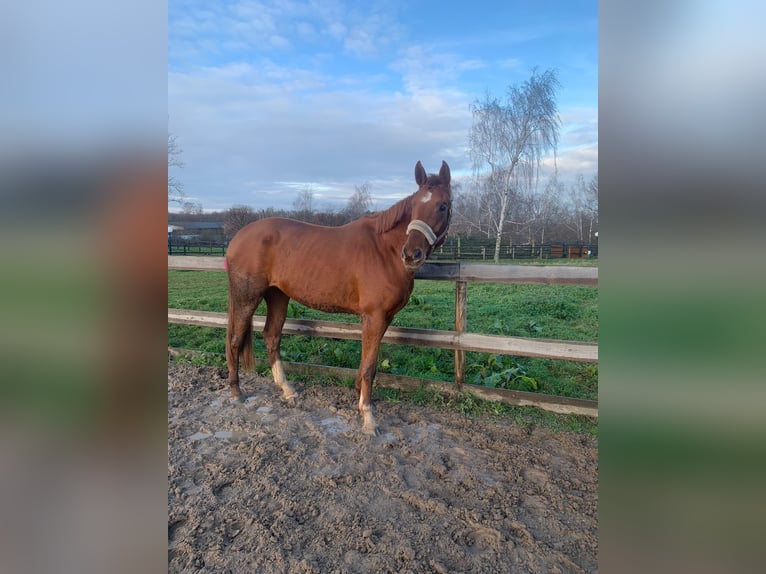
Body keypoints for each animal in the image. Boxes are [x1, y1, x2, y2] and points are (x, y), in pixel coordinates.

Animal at [225, 160, 452, 434]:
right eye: (415, 205)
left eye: (443, 205)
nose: (411, 254)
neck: (385, 249)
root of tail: (238, 237)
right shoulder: (374, 317)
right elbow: (369, 366)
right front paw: (368, 418)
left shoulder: (383, 318)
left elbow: (367, 363)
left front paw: (360, 397)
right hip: (246, 297)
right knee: (235, 339)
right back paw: (236, 392)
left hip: (278, 296)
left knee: (272, 336)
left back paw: (287, 390)